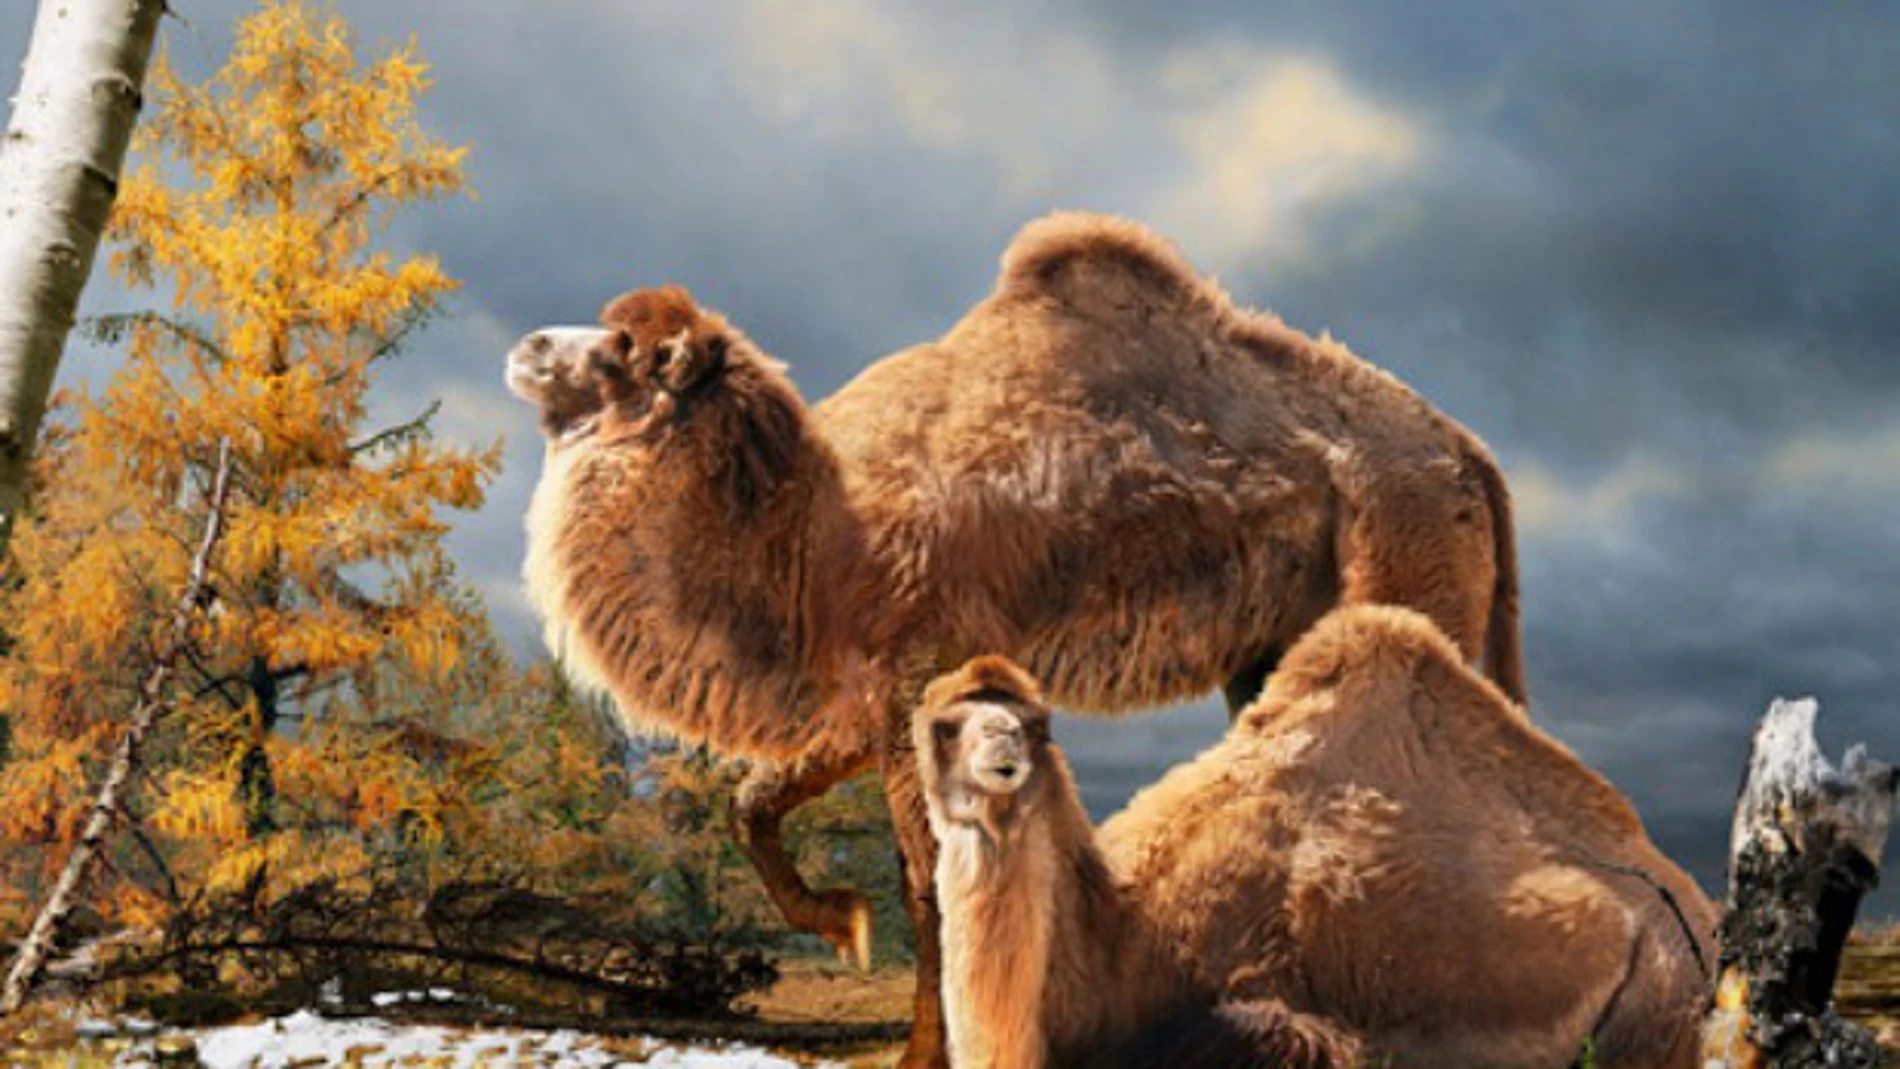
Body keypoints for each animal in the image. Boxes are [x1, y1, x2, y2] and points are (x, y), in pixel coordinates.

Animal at [504, 212, 1525, 1068]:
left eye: (629, 351)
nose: (530, 344)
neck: (814, 534)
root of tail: (1472, 456)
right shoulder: (875, 693)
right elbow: (755, 803)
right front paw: (843, 923)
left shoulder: (920, 657)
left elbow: (928, 881)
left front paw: (924, 1055)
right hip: (1274, 647)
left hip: (1405, 559)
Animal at [914, 608, 1717, 1069]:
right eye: (943, 724)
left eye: (1037, 722)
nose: (1003, 751)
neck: (1123, 936)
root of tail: (1700, 914)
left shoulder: (1268, 1019)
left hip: (1662, 1008)